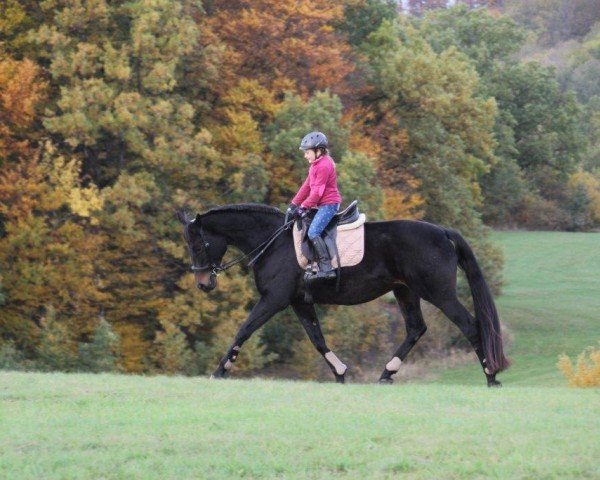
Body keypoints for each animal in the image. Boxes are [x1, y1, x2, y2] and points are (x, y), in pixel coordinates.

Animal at [176, 202, 508, 386]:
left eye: (201, 243)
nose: (203, 283)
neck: (273, 242)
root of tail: (442, 231)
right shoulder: (298, 301)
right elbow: (317, 338)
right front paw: (339, 372)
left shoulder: (274, 300)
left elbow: (244, 330)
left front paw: (220, 371)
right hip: (405, 291)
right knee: (416, 328)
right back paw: (386, 374)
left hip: (439, 293)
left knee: (470, 326)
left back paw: (491, 376)